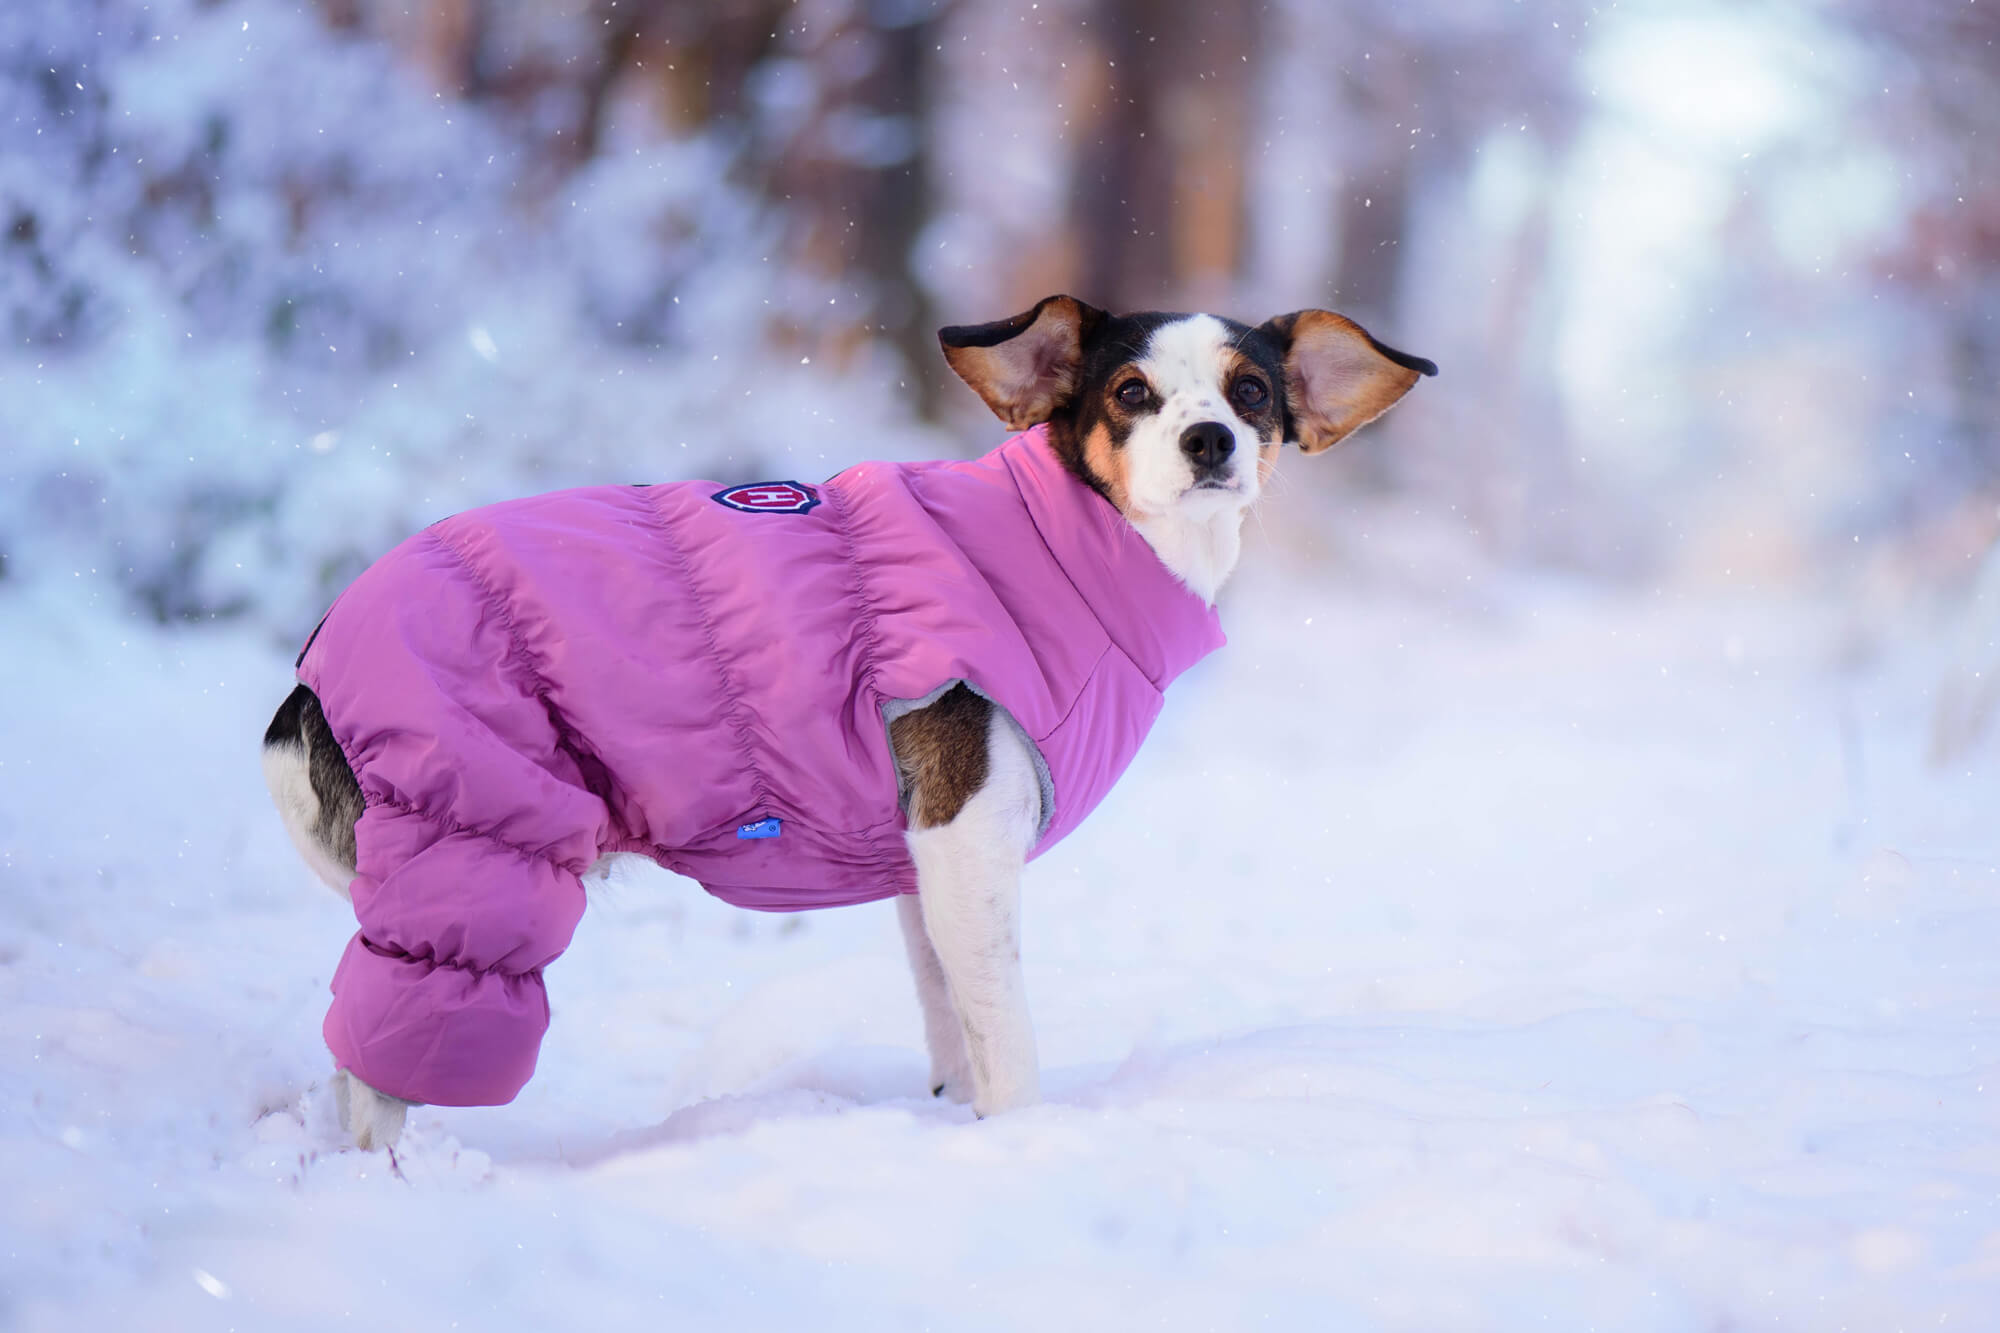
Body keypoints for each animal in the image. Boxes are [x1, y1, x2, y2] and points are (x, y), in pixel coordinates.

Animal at [262, 294, 1440, 1144]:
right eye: (1130, 391)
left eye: (1250, 391)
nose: (1208, 441)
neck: (1060, 540)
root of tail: (311, 668)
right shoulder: (968, 837)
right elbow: (1006, 1034)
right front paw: (1025, 1143)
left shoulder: (926, 870)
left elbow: (951, 1024)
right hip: (483, 861)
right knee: (382, 1068)